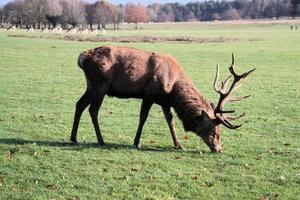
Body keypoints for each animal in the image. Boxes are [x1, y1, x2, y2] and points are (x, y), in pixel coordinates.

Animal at [69, 46, 253, 153]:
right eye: (214, 131)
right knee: (93, 109)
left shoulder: (165, 102)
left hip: (91, 85)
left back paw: (73, 138)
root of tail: (81, 58)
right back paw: (101, 140)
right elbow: (143, 118)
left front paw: (178, 145)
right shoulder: (148, 93)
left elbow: (170, 121)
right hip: (100, 84)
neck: (173, 90)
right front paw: (136, 142)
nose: (219, 149)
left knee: (79, 105)